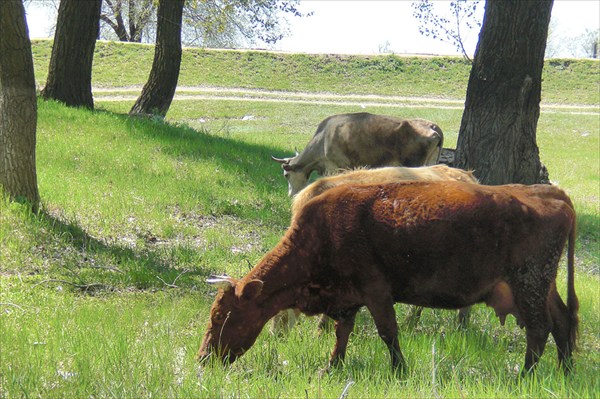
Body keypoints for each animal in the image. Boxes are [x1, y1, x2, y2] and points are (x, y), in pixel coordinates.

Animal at [199, 181, 580, 376]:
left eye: (220, 316)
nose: (203, 358)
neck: (322, 233)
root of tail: (551, 192)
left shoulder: (377, 293)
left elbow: (388, 333)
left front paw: (400, 371)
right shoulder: (349, 298)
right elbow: (342, 332)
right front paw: (332, 367)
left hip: (528, 284)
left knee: (540, 329)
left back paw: (523, 378)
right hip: (542, 286)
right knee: (562, 321)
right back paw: (566, 372)